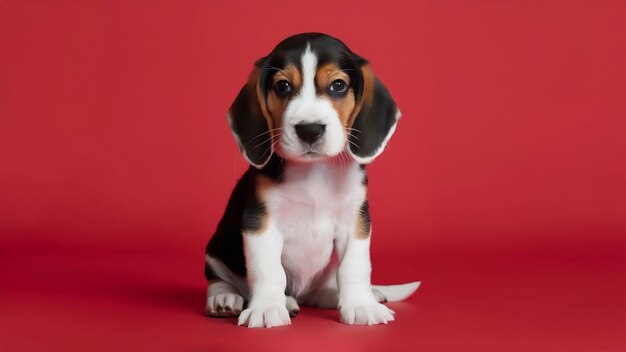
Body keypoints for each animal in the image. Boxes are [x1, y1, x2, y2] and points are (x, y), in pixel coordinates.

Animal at [206, 33, 420, 328]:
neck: (315, 170)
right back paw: (227, 299)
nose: (309, 130)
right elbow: (269, 270)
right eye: (283, 86)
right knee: (218, 281)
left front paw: (361, 304)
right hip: (215, 252)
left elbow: (354, 266)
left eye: (338, 85)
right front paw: (267, 308)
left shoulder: (355, 222)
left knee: (323, 289)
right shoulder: (260, 222)